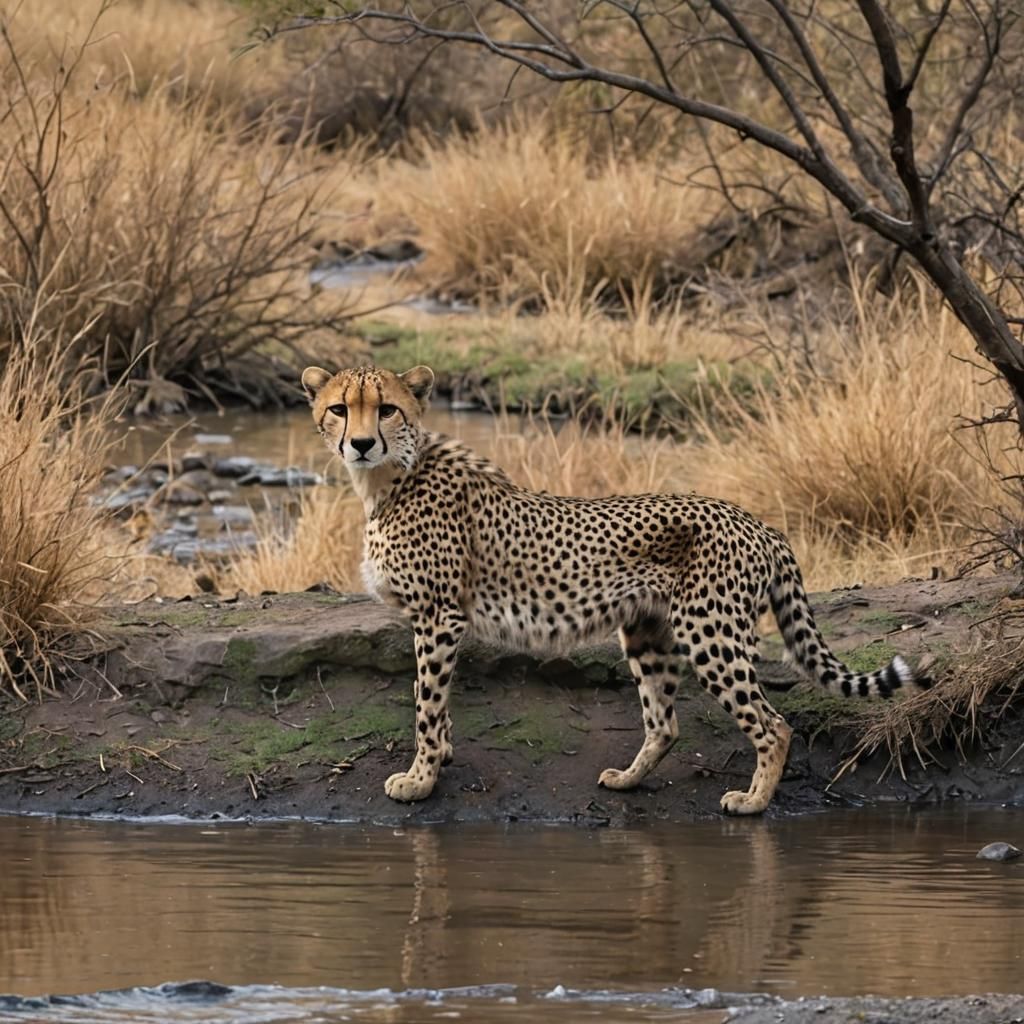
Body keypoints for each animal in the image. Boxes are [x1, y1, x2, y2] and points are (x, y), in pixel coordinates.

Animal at [302, 362, 930, 815]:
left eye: (386, 409)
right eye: (339, 408)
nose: (361, 443)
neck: (386, 480)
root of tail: (758, 521)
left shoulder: (439, 616)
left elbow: (426, 704)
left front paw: (420, 780)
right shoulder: (435, 620)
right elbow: (432, 697)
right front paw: (443, 758)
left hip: (711, 633)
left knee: (774, 725)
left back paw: (752, 801)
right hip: (649, 631)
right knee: (666, 722)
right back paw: (628, 781)